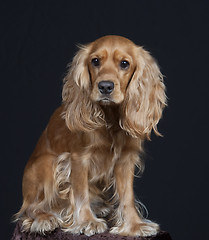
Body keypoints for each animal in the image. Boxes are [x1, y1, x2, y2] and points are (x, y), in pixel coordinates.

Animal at [14, 35, 167, 236]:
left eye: (124, 64)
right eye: (95, 61)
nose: (105, 86)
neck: (110, 118)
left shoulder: (126, 160)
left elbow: (127, 196)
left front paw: (134, 225)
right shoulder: (78, 158)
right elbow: (80, 192)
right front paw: (87, 221)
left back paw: (100, 207)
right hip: (47, 164)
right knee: (30, 208)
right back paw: (44, 219)